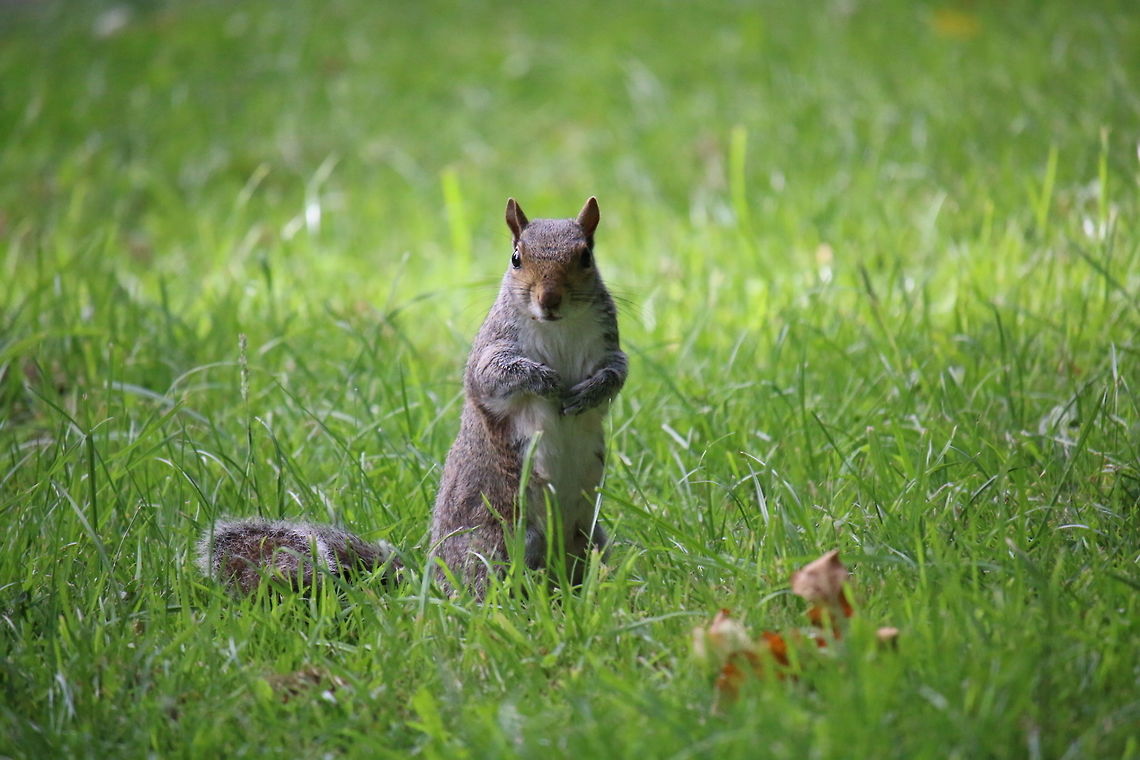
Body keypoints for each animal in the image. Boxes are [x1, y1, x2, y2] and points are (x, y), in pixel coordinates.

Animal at [197, 197, 628, 597]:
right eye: (516, 258)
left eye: (586, 256)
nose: (549, 299)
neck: (558, 328)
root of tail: (431, 581)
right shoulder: (492, 350)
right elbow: (495, 376)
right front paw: (546, 381)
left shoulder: (608, 345)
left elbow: (617, 373)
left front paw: (592, 391)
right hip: (495, 544)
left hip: (589, 540)